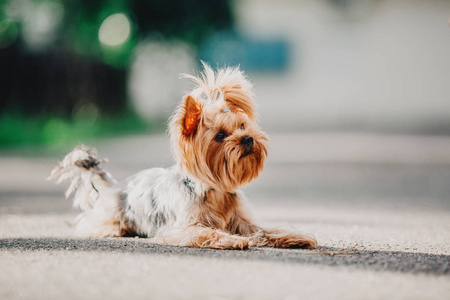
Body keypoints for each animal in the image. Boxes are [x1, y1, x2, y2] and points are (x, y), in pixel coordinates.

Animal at [48, 62, 316, 250]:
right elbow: (207, 232)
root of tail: (114, 187)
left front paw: (294, 236)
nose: (248, 139)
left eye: (242, 126)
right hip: (109, 220)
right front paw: (232, 240)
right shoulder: (181, 228)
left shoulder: (243, 221)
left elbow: (265, 230)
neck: (214, 191)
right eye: (220, 135)